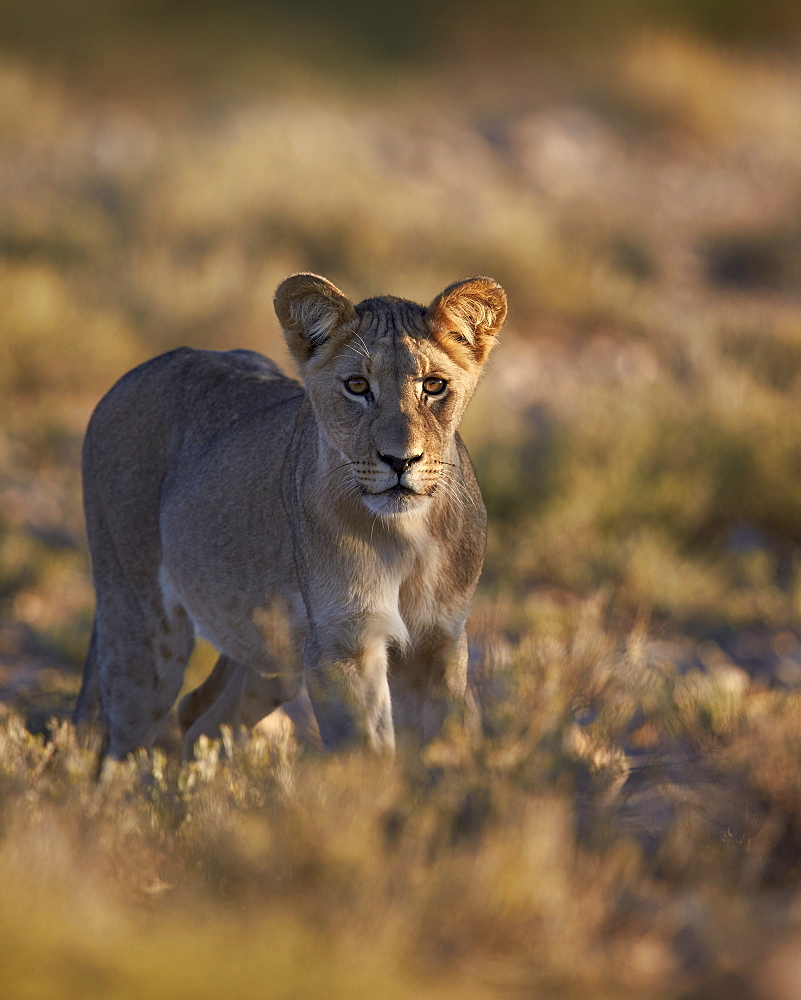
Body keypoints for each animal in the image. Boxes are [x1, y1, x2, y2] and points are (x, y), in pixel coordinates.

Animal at [78, 274, 510, 756]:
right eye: (357, 386)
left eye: (434, 386)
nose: (400, 460)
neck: (404, 534)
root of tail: (130, 376)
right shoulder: (340, 645)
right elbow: (365, 750)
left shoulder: (440, 639)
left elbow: (439, 744)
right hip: (141, 627)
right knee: (122, 746)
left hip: (272, 655)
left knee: (198, 714)